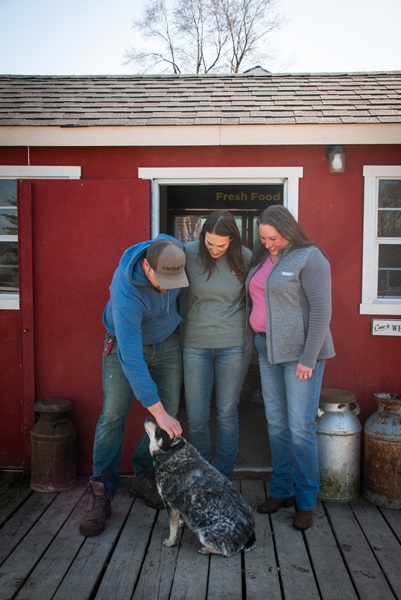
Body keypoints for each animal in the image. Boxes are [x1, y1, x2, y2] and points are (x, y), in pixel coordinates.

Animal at [145, 414, 256, 556]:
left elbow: (172, 528)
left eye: (159, 431)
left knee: (225, 552)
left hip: (204, 533)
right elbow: (177, 520)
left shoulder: (170, 504)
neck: (172, 454)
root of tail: (250, 535)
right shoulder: (176, 507)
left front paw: (170, 542)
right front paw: (180, 522)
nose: (150, 416)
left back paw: (206, 549)